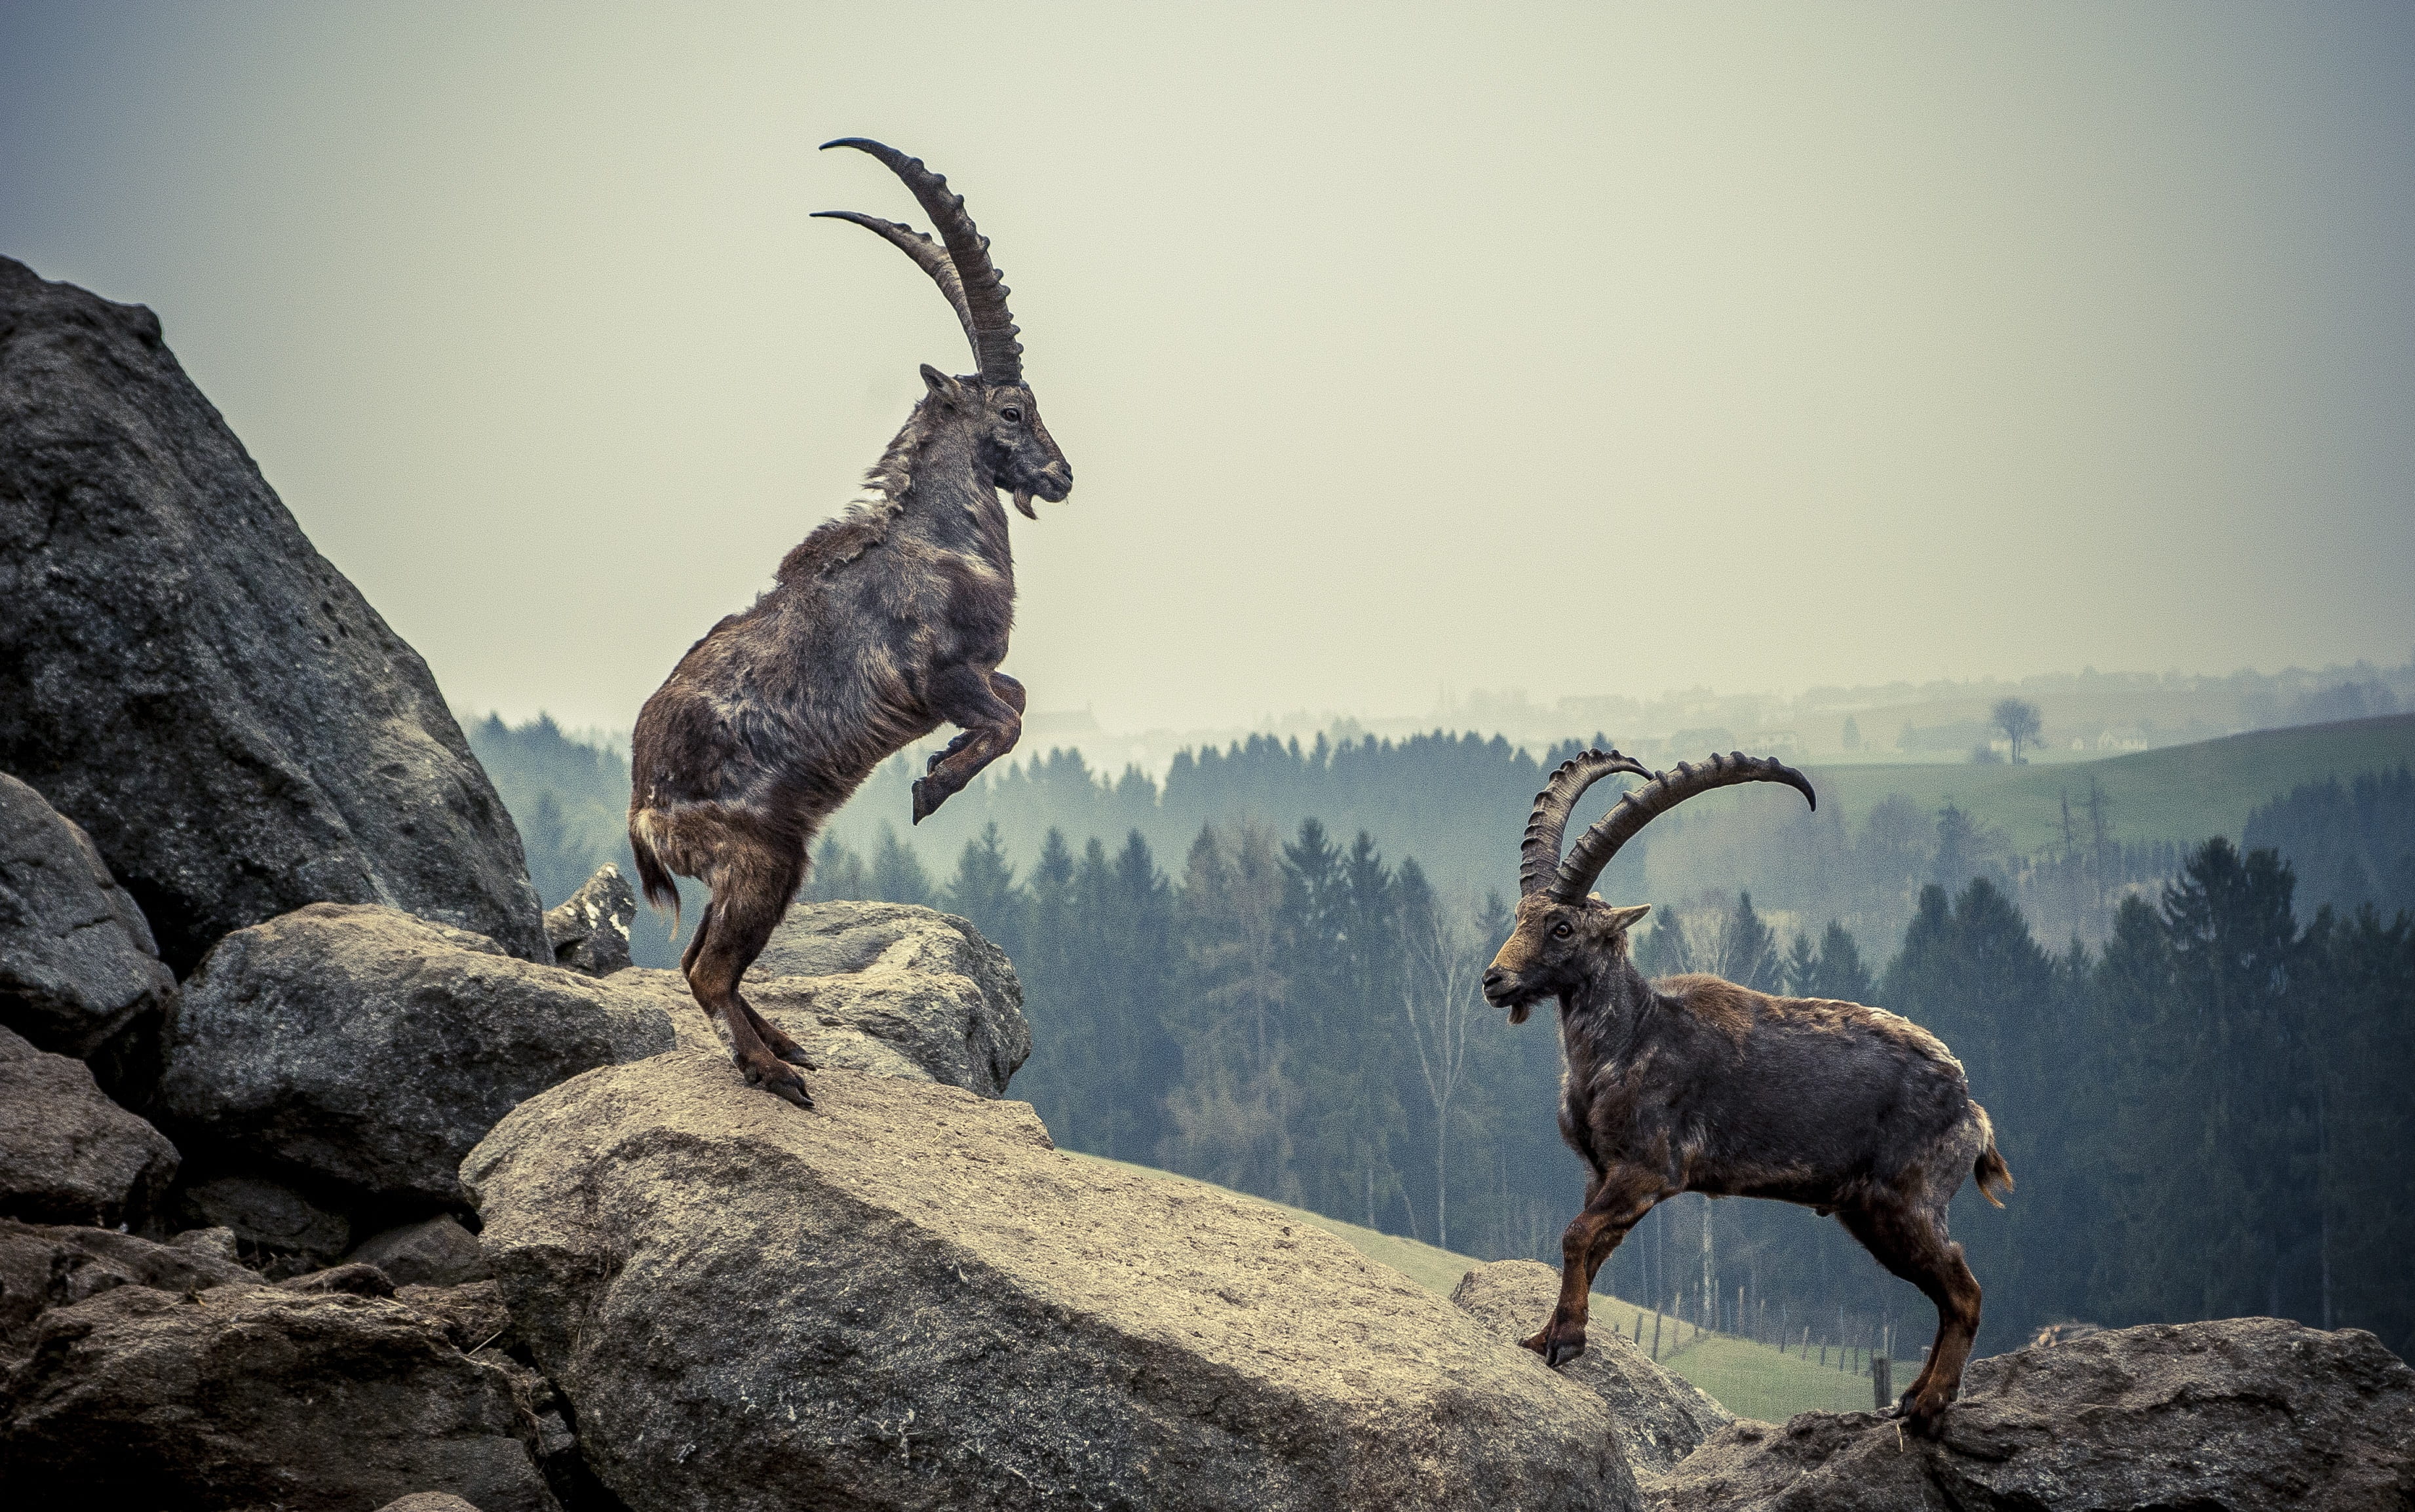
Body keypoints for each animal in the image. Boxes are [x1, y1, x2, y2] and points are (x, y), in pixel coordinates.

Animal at [627, 139, 1072, 1109]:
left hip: (769, 867)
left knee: (697, 960)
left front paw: (940, 767)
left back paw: (787, 1045)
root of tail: (642, 811)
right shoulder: (941, 675)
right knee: (706, 969)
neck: (939, 538)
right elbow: (1007, 721)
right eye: (1012, 410)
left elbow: (1018, 699)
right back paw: (770, 1071)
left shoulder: (977, 673)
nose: (1062, 476)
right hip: (760, 860)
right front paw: (930, 787)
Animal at [1482, 750, 2013, 1432]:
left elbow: (1576, 1236)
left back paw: (1927, 1405)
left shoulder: (1648, 1169)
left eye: (1563, 926)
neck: (1628, 1038)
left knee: (1965, 1291)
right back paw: (1909, 1398)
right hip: (1869, 1214)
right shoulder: (1602, 1173)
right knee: (1945, 1294)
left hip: (1909, 1199)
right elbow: (1592, 1247)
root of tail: (1970, 1107)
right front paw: (1543, 1336)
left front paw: (1565, 1342)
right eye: (1520, 917)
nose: (1494, 980)